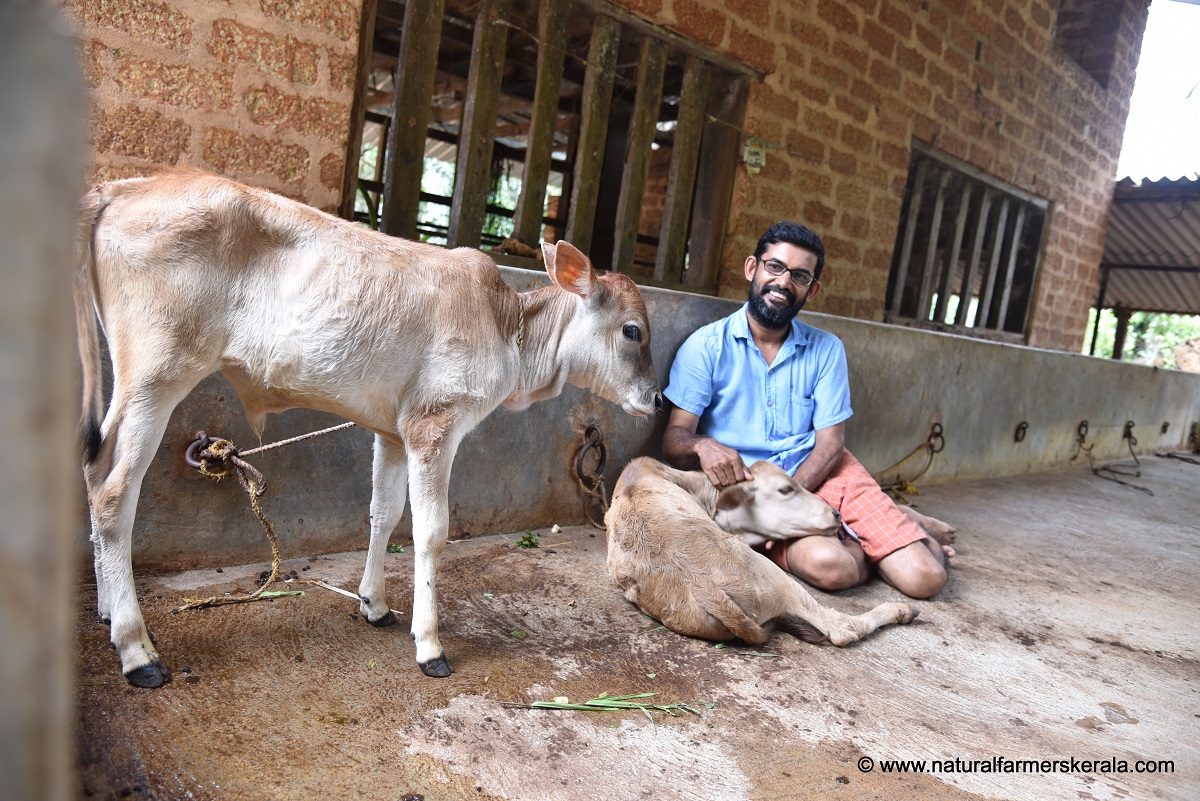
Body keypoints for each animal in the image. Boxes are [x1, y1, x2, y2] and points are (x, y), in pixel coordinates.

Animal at [77, 172, 657, 685]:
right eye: (633, 331)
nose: (654, 398)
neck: (507, 329)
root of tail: (122, 187)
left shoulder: (394, 431)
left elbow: (383, 514)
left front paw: (373, 603)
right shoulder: (433, 423)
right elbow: (431, 530)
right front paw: (430, 644)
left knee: (94, 471)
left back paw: (108, 610)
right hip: (157, 374)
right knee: (113, 490)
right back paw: (137, 649)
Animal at [604, 455, 912, 642]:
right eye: (785, 489)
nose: (836, 514)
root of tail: (704, 588)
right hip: (779, 579)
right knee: (841, 628)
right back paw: (901, 610)